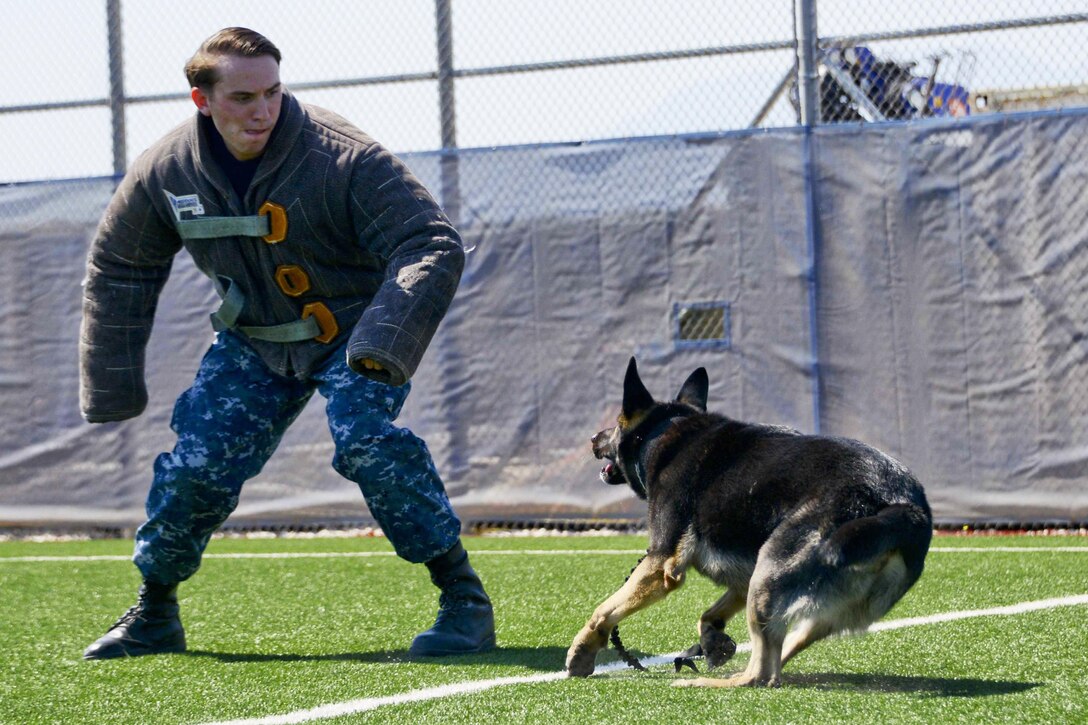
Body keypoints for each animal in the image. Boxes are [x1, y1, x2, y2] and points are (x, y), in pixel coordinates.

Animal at [565, 359, 931, 687]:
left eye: (615, 424)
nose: (593, 438)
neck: (665, 433)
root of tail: (902, 504)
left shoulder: (661, 563)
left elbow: (605, 610)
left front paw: (582, 651)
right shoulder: (742, 577)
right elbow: (709, 614)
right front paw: (713, 642)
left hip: (769, 573)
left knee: (760, 675)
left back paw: (708, 682)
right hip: (800, 602)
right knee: (778, 657)